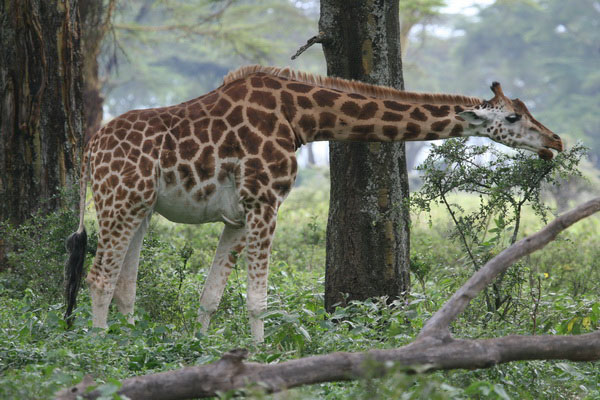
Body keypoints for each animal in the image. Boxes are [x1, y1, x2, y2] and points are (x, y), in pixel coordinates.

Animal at [65, 65, 564, 340]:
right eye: (513, 118)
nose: (555, 142)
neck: (302, 118)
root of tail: (89, 150)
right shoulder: (264, 201)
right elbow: (257, 298)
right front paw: (259, 357)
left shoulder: (238, 215)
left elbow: (210, 295)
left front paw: (199, 351)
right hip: (119, 201)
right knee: (99, 277)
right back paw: (99, 350)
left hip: (139, 207)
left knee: (124, 283)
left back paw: (128, 344)